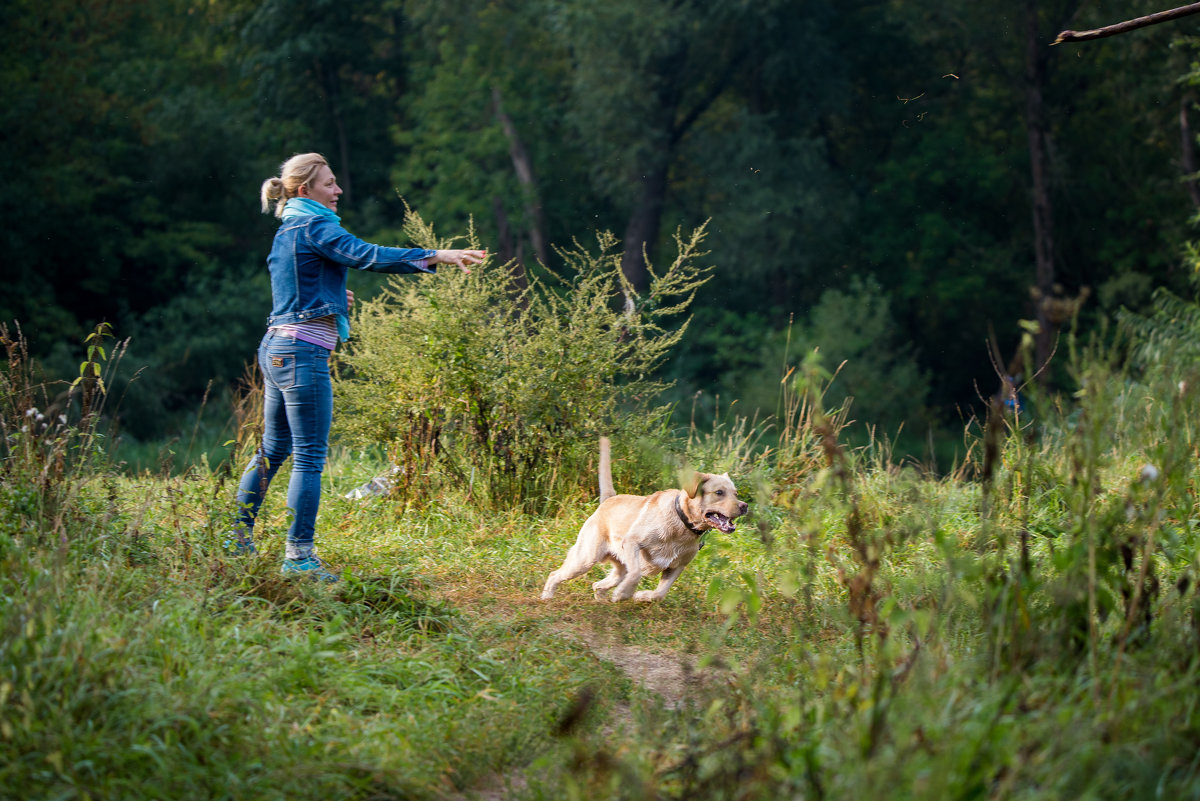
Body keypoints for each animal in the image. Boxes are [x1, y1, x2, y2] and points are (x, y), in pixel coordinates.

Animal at [544, 438, 748, 599]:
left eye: (736, 493)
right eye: (719, 492)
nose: (744, 506)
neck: (682, 525)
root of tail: (609, 499)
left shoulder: (677, 566)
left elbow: (659, 593)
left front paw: (641, 596)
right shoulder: (632, 543)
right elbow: (636, 574)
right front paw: (623, 594)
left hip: (618, 569)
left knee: (598, 585)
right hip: (585, 558)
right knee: (555, 574)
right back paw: (547, 598)